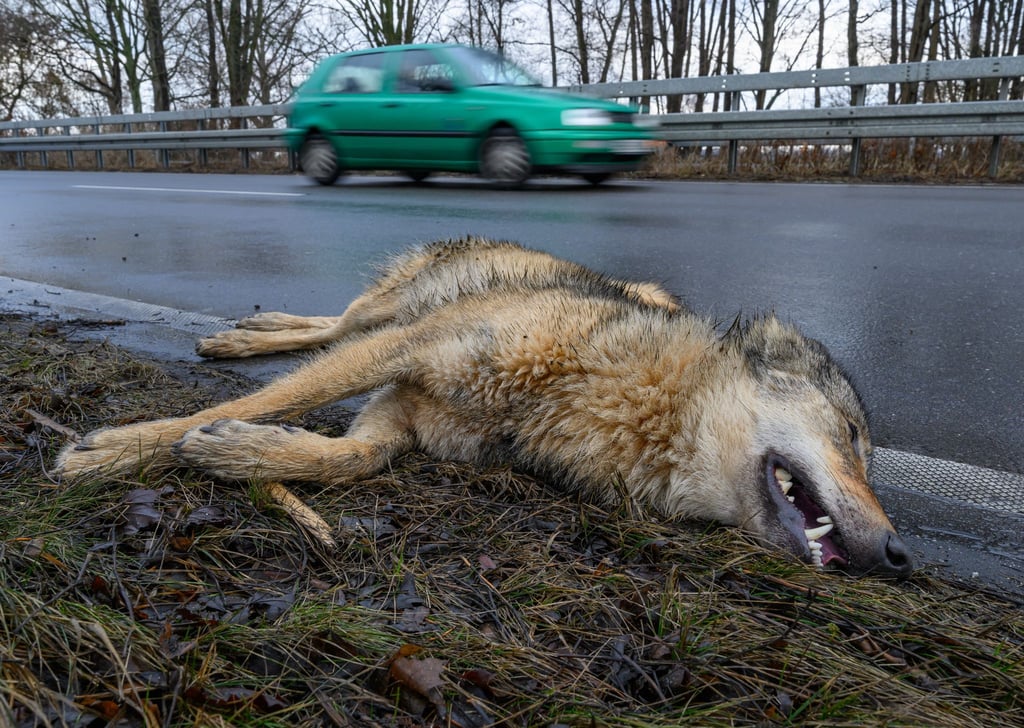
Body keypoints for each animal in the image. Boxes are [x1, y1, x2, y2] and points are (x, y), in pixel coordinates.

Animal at [55, 237, 913, 578]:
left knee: (330, 330)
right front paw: (121, 449)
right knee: (336, 326)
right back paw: (245, 337)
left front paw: (239, 451)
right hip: (395, 308)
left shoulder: (400, 413)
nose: (903, 556)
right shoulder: (409, 353)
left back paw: (252, 333)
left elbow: (346, 458)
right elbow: (284, 397)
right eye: (850, 436)